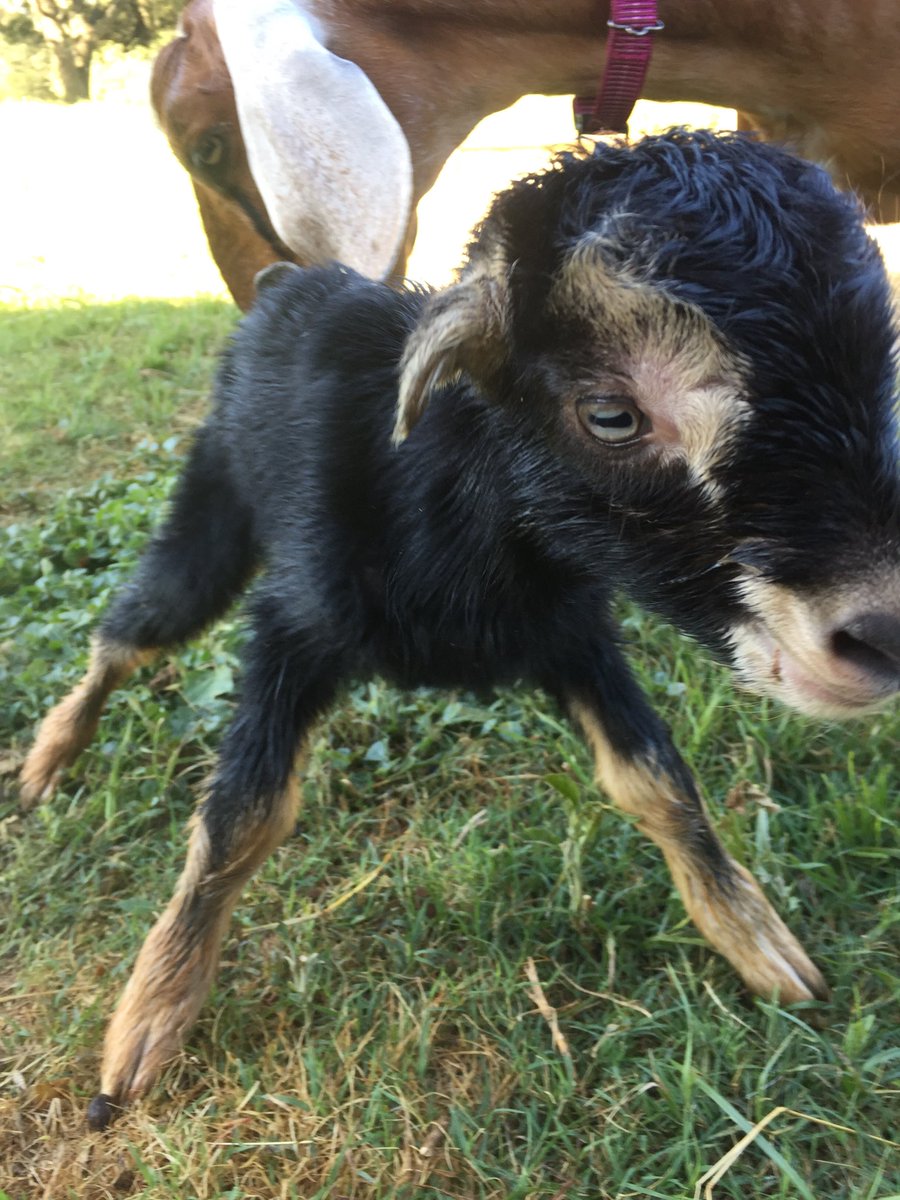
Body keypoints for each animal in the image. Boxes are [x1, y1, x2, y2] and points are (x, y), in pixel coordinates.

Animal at [20, 130, 900, 1129]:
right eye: (611, 414)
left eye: (879, 386)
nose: (881, 632)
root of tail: (287, 282)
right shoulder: (293, 622)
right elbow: (244, 816)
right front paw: (149, 1020)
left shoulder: (576, 632)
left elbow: (656, 781)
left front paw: (756, 939)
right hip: (211, 499)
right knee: (134, 629)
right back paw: (47, 759)